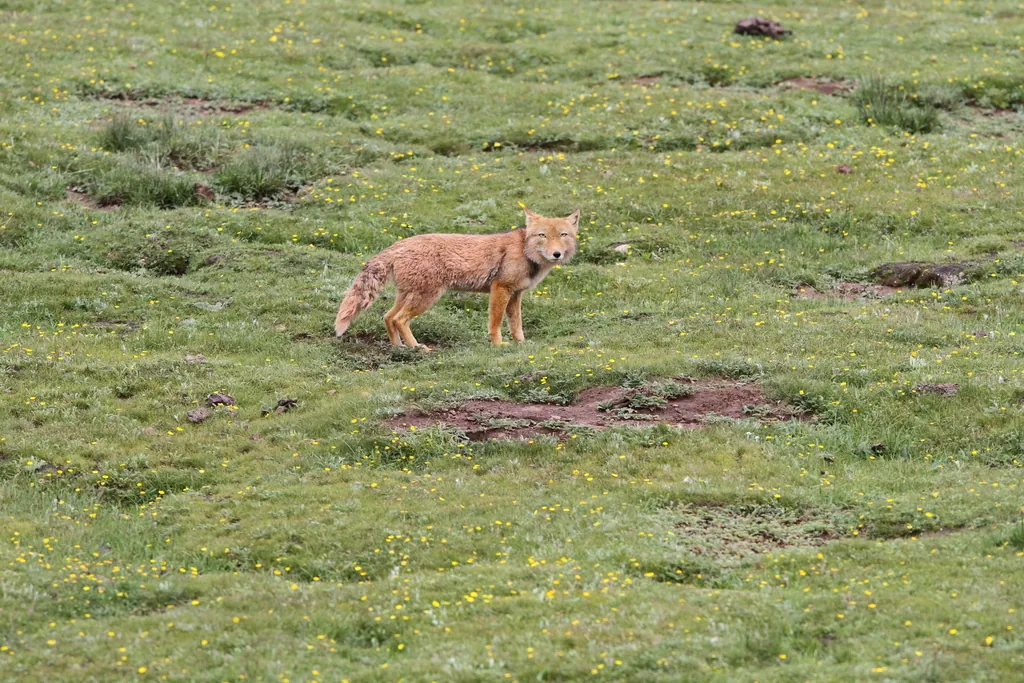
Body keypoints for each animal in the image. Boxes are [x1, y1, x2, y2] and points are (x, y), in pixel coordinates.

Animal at [334, 207, 580, 348]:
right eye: (542, 235)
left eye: (563, 235)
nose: (556, 254)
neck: (524, 250)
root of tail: (397, 246)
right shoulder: (500, 289)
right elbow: (496, 323)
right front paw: (499, 345)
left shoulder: (516, 294)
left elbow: (516, 324)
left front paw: (522, 345)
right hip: (426, 297)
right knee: (399, 319)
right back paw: (416, 347)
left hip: (409, 296)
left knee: (387, 317)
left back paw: (399, 348)